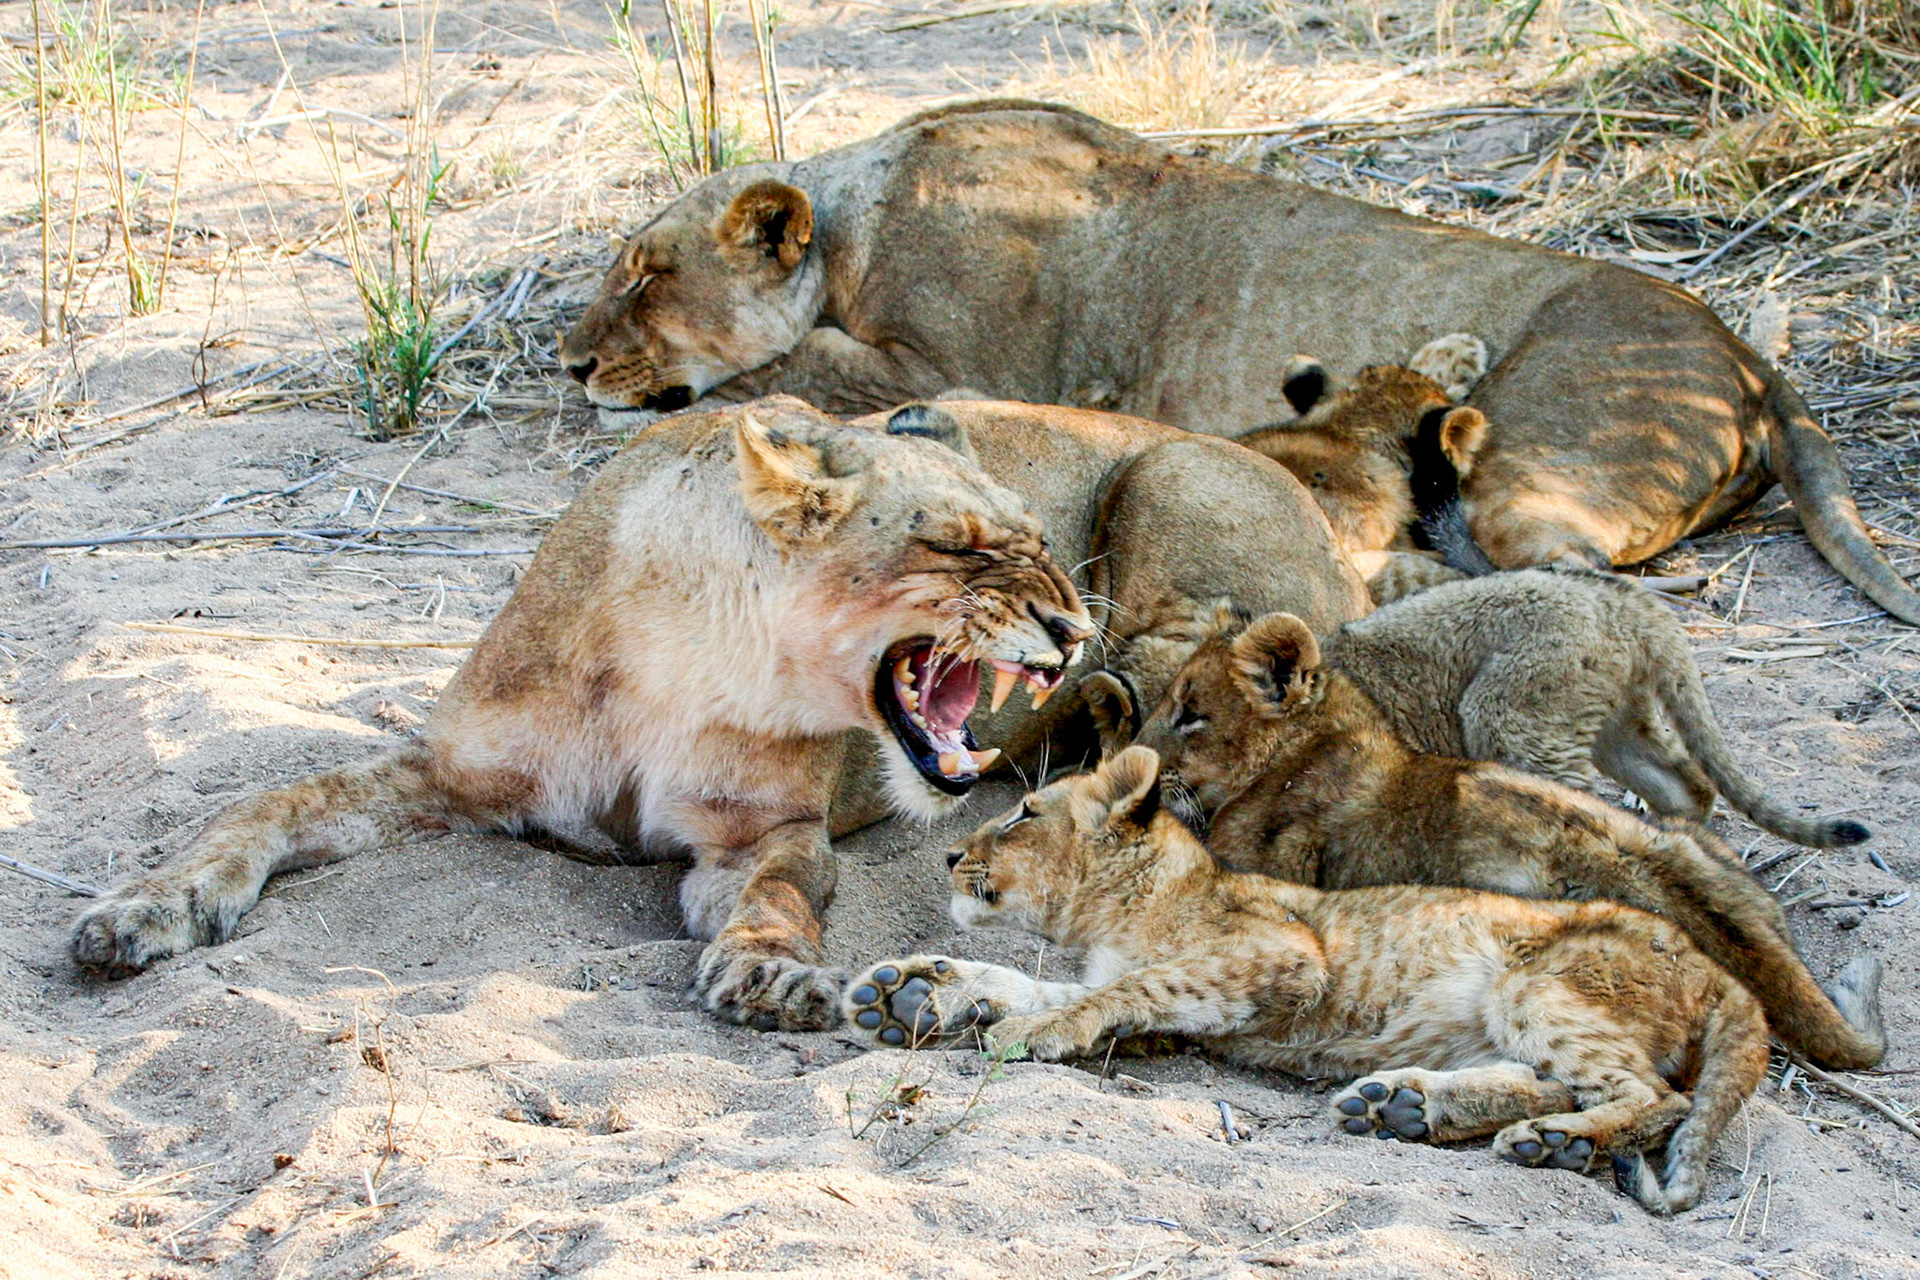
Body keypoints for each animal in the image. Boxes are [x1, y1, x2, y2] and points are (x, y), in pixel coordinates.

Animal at [557, 99, 1920, 626]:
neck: (858, 216)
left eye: (644, 272)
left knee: (1586, 582)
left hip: (1530, 475)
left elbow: (778, 371)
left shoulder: (941, 352)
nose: (566, 360)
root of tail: (1743, 347)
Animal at [840, 746, 1782, 1214]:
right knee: (1555, 1083)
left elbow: (1118, 993)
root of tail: (1721, 973)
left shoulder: (1285, 955)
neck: (1132, 905)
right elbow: (1049, 985)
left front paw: (1014, 1028)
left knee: (1653, 1096)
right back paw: (1412, 1109)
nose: (950, 856)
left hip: (1538, 983)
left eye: (1024, 813)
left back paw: (1550, 1141)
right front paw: (915, 993)